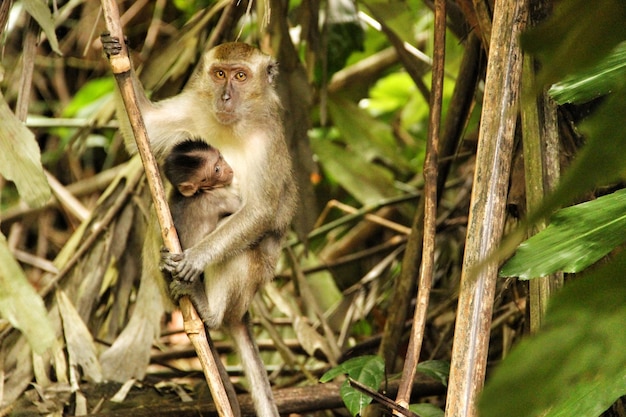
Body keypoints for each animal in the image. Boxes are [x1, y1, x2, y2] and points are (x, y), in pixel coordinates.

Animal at [102, 35, 298, 416]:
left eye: (240, 76)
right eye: (219, 73)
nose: (225, 97)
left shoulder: (269, 141)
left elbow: (261, 211)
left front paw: (195, 259)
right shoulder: (194, 105)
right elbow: (142, 128)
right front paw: (119, 55)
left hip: (249, 286)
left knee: (243, 252)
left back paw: (211, 313)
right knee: (163, 205)